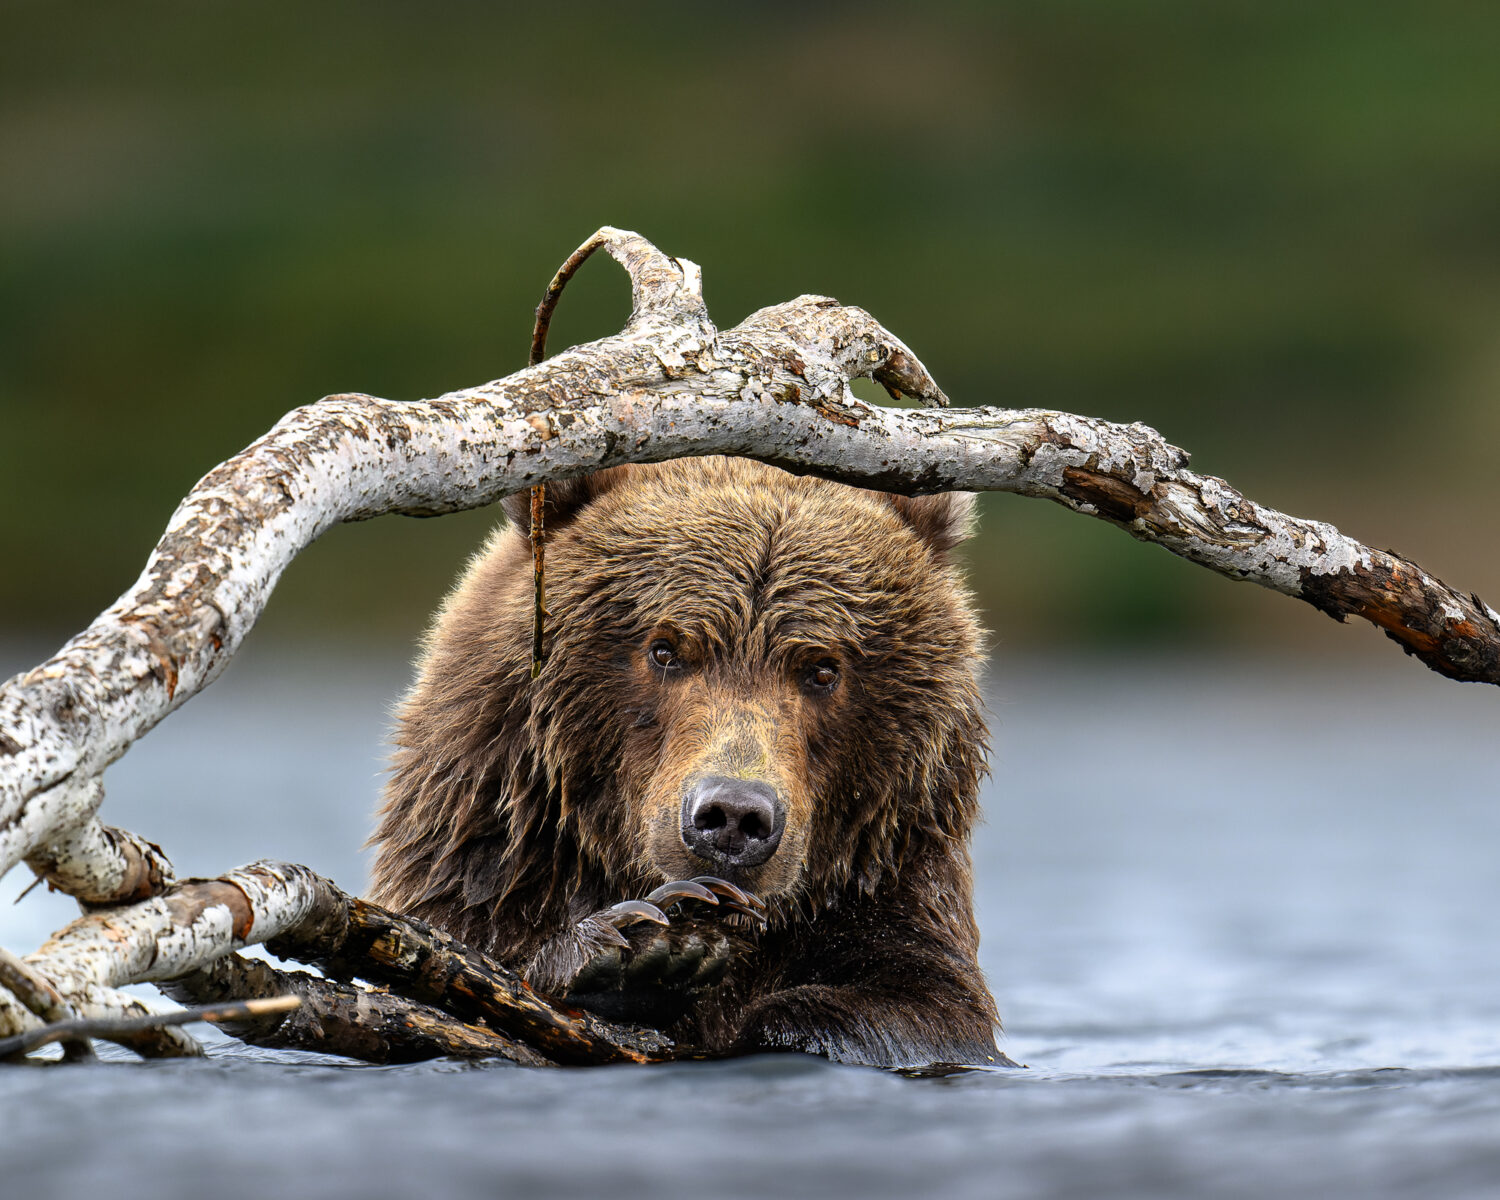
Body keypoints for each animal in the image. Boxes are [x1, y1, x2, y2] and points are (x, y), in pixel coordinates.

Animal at [368, 455, 1009, 1068]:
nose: (733, 816)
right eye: (665, 650)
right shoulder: (489, 868)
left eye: (823, 668)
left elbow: (917, 1008)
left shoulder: (891, 888)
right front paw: (643, 950)